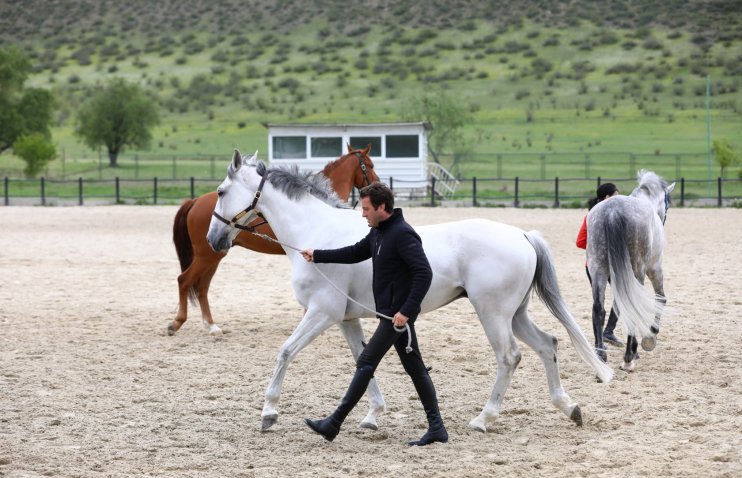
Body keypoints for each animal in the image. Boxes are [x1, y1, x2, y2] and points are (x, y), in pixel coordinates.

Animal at [169, 144, 378, 334]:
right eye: (370, 165)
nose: (378, 185)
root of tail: (194, 201)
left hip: (214, 255)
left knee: (202, 287)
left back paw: (210, 325)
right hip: (207, 255)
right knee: (184, 280)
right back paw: (179, 323)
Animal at [206, 150, 612, 434]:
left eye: (222, 191)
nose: (214, 239)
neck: (317, 233)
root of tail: (522, 235)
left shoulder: (322, 312)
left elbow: (286, 351)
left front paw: (269, 412)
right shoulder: (346, 319)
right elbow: (362, 362)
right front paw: (372, 415)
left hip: (493, 313)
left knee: (509, 357)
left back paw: (484, 418)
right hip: (516, 314)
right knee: (547, 344)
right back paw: (569, 407)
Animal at [588, 170, 676, 372]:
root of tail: (613, 211)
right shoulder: (655, 267)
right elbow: (661, 298)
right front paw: (651, 335)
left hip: (599, 269)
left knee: (599, 309)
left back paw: (601, 355)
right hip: (636, 270)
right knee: (631, 305)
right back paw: (629, 357)